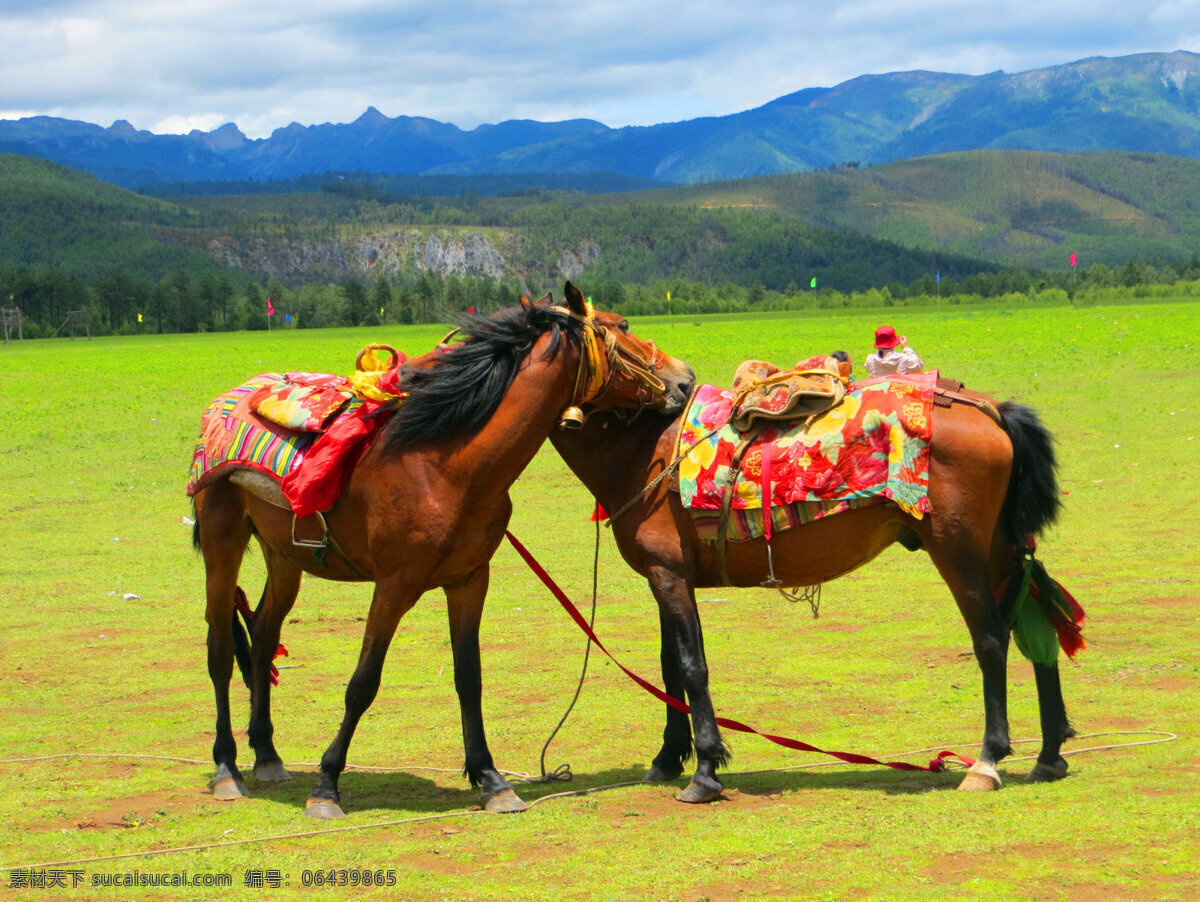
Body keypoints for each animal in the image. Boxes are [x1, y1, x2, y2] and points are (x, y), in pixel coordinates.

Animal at [190, 284, 696, 818]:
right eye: (622, 328)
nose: (684, 380)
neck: (447, 465)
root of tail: (226, 400)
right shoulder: (394, 586)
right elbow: (362, 683)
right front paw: (326, 786)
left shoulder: (469, 580)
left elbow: (468, 677)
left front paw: (492, 780)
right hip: (223, 545)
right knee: (220, 651)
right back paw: (227, 769)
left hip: (285, 557)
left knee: (264, 634)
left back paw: (267, 755)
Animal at [549, 380, 1076, 800]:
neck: (643, 450)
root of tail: (986, 408)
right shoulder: (665, 577)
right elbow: (669, 668)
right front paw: (667, 758)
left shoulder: (670, 577)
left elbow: (690, 667)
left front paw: (704, 771)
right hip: (1001, 550)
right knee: (1037, 625)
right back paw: (1048, 753)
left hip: (959, 550)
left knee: (992, 640)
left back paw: (988, 760)